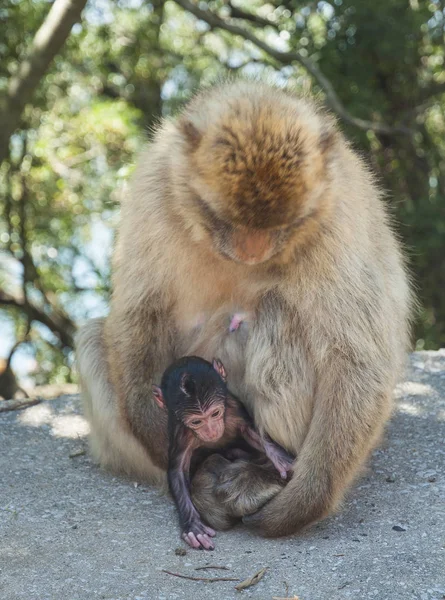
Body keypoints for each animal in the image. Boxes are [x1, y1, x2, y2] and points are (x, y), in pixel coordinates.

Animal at [153, 356, 294, 548]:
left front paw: (279, 457)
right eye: (196, 422)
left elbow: (251, 431)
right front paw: (192, 524)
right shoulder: (182, 432)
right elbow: (178, 470)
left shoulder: (233, 407)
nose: (211, 431)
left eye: (215, 413)